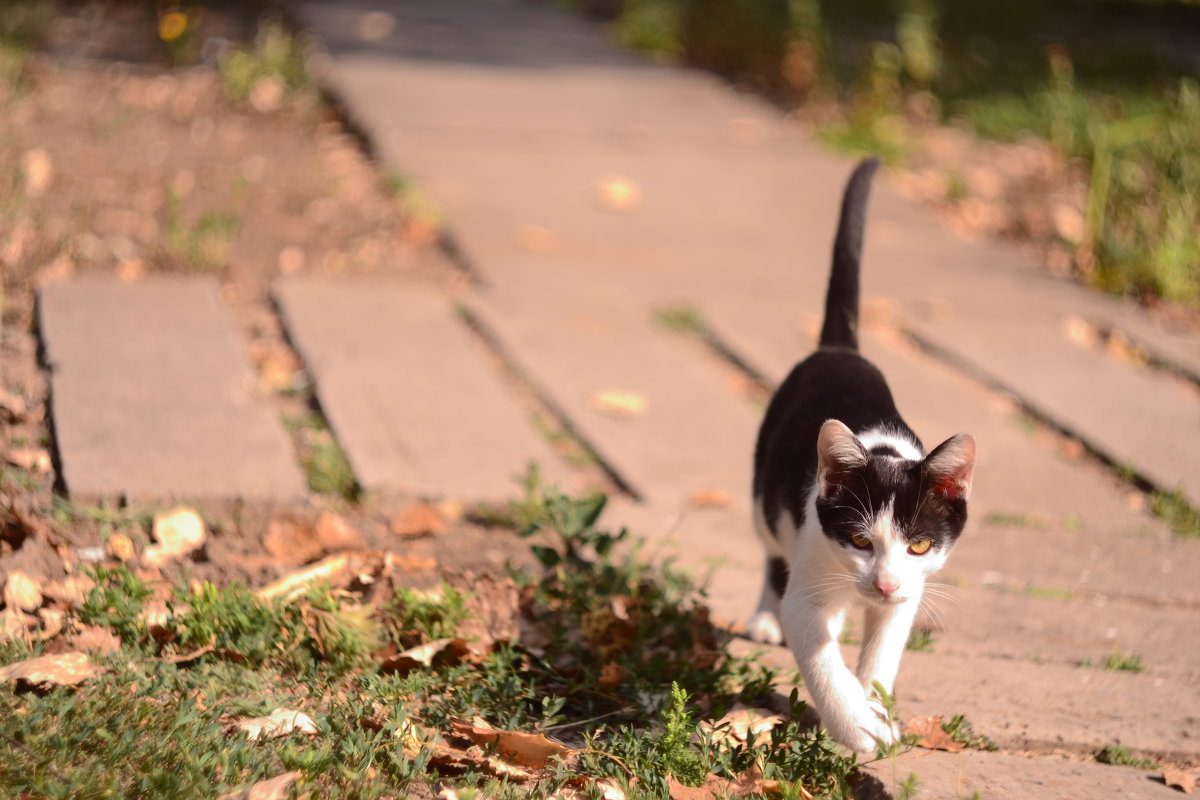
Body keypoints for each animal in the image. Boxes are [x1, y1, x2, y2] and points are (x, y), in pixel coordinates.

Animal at [748, 159, 974, 753]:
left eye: (919, 545)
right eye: (858, 540)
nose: (885, 584)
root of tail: (840, 349)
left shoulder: (909, 595)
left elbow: (884, 648)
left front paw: (874, 705)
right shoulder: (811, 564)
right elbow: (816, 648)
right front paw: (853, 722)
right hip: (764, 496)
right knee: (771, 551)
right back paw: (764, 616)